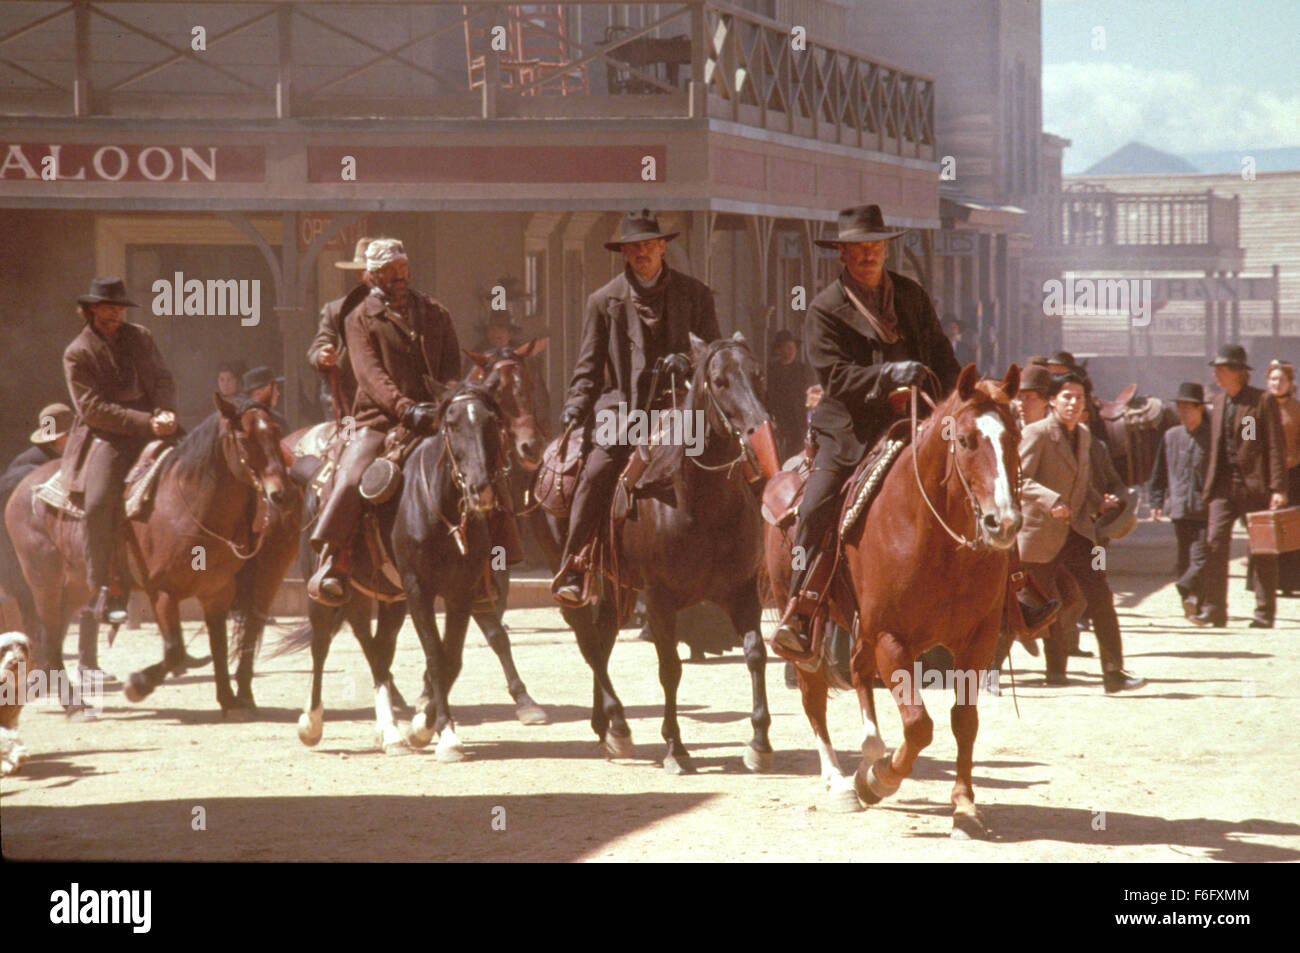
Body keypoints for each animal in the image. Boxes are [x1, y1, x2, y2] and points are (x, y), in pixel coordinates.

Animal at [3, 395, 297, 712]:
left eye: (276, 431)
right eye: (243, 438)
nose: (281, 494)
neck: (190, 505)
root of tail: (23, 486)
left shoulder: (218, 591)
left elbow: (217, 644)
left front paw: (229, 699)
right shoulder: (162, 592)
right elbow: (174, 650)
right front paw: (138, 685)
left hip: (77, 584)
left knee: (55, 633)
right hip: (45, 582)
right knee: (48, 632)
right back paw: (73, 703)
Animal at [759, 361, 1024, 832]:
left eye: (1015, 437)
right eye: (966, 440)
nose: (1004, 523)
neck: (937, 538)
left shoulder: (976, 640)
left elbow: (964, 720)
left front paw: (964, 804)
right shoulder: (890, 638)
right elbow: (919, 725)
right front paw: (878, 780)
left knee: (857, 674)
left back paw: (869, 751)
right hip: (810, 627)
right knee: (813, 694)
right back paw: (840, 782)